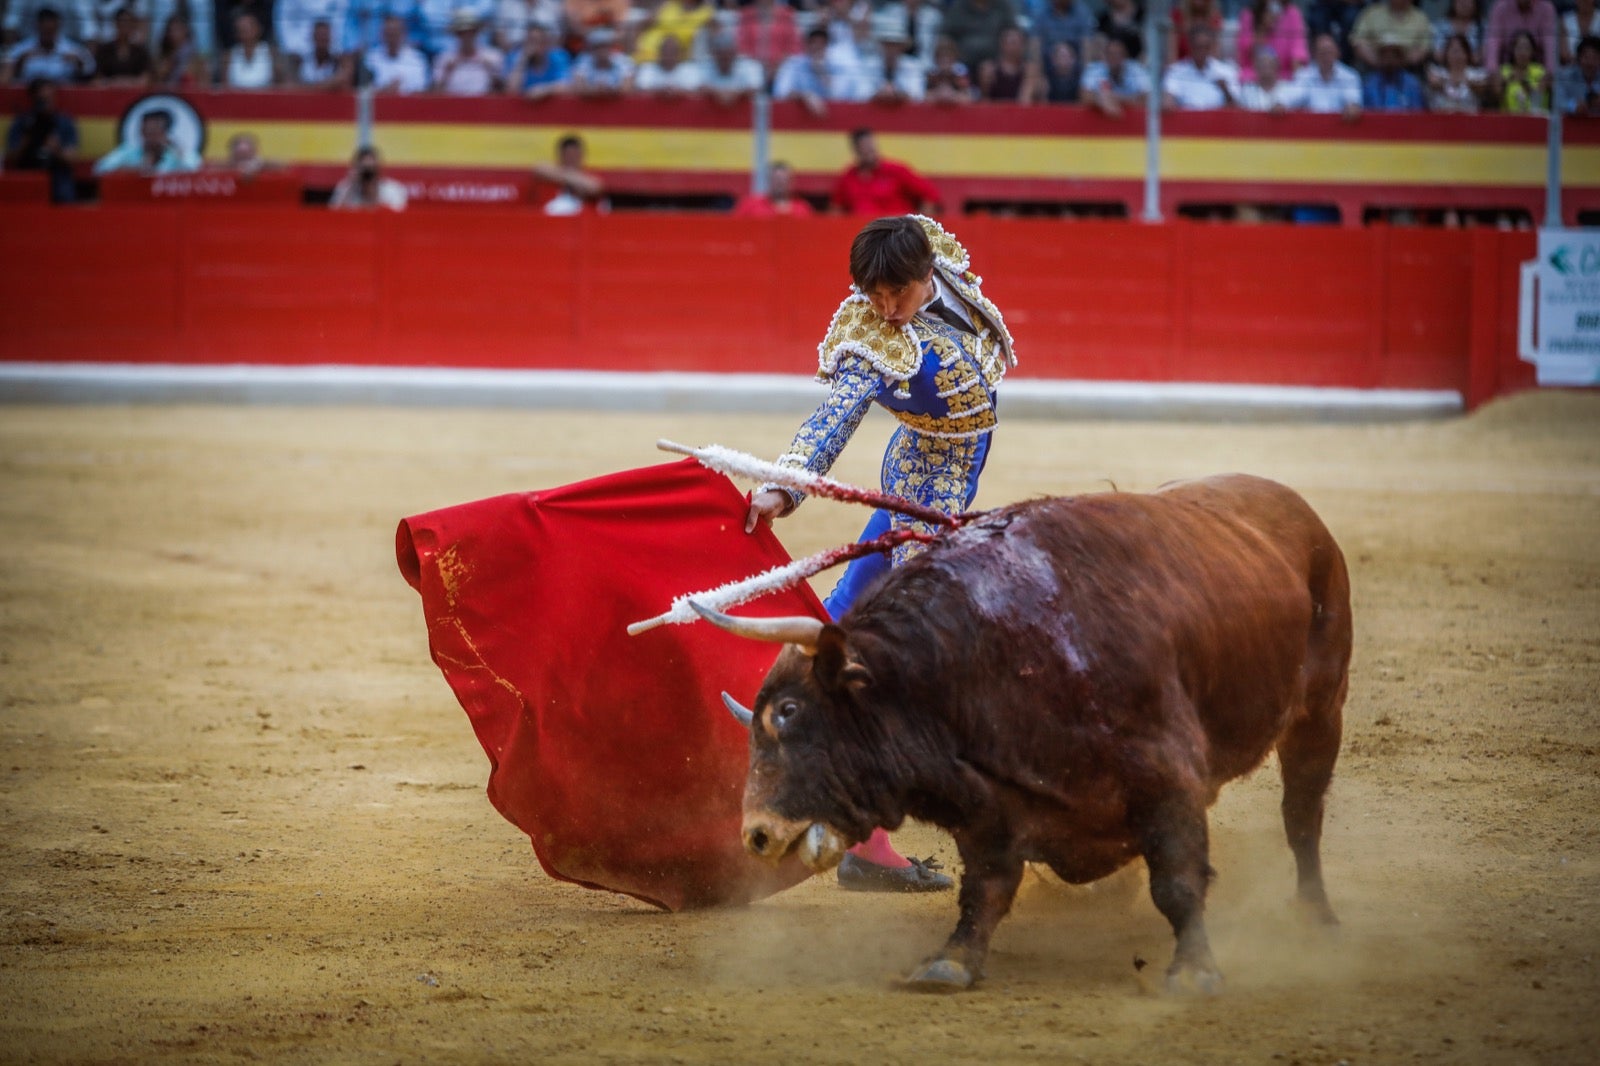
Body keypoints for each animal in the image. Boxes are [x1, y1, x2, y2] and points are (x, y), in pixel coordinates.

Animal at [700, 473, 1350, 985]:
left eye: (789, 713)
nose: (756, 834)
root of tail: (1293, 504)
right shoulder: (990, 803)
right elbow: (985, 886)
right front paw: (950, 962)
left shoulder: (1168, 776)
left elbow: (1178, 878)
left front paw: (1194, 972)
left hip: (1322, 710)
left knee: (1302, 815)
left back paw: (1315, 916)